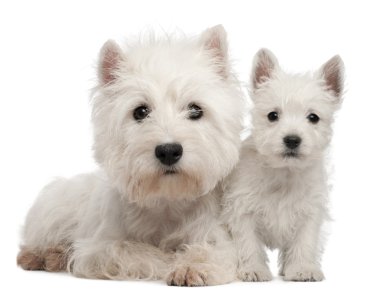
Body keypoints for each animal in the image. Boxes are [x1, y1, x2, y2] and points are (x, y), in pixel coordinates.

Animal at [223, 48, 344, 280]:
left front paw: (302, 268)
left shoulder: (309, 212)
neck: (284, 173)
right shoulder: (242, 210)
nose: (292, 140)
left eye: (313, 117)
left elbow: (304, 242)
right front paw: (253, 269)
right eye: (273, 115)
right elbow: (248, 243)